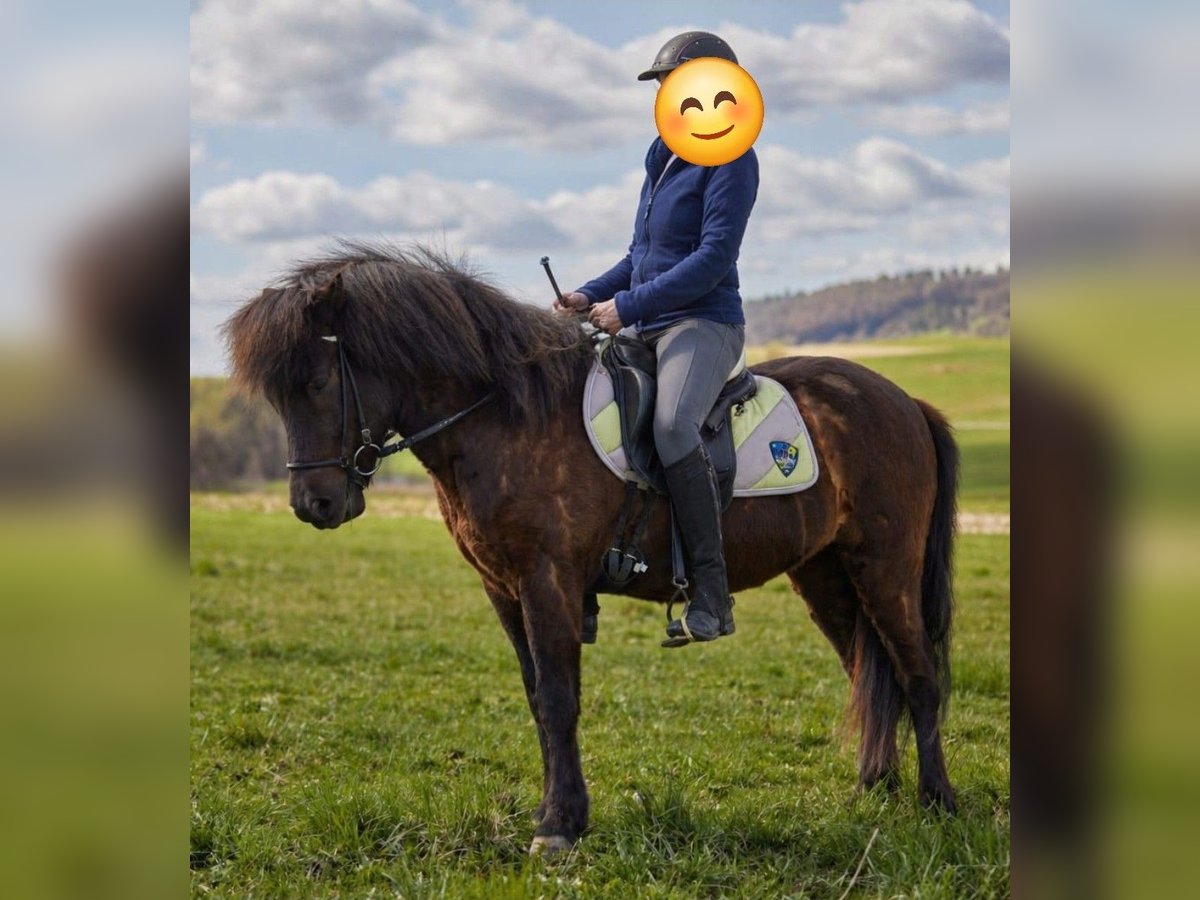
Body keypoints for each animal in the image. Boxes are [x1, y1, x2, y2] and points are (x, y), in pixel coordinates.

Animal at [223, 242, 959, 854]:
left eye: (319, 383)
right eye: (279, 395)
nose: (314, 505)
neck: (505, 415)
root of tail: (905, 401)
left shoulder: (546, 580)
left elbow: (557, 698)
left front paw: (557, 825)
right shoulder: (503, 587)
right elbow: (538, 699)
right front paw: (561, 813)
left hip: (886, 569)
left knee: (918, 675)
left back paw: (938, 801)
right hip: (827, 575)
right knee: (868, 668)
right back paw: (872, 789)